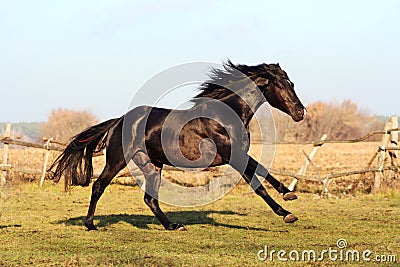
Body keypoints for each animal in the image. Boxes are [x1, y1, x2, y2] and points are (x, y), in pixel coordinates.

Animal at [50, 61, 306, 231]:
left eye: (292, 83)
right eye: (282, 85)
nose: (300, 112)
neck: (224, 116)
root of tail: (119, 121)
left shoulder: (238, 155)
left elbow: (261, 171)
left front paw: (288, 195)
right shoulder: (233, 155)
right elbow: (259, 182)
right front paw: (287, 211)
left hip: (152, 164)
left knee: (150, 199)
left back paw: (173, 226)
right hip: (117, 160)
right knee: (98, 186)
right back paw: (90, 224)